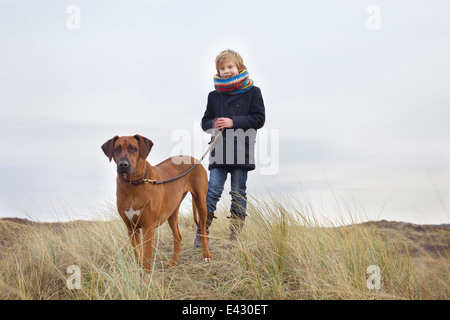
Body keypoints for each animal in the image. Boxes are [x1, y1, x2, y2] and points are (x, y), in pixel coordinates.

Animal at [102, 134, 213, 272]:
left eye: (133, 148)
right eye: (116, 149)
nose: (123, 164)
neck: (134, 184)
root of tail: (193, 159)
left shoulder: (148, 228)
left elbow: (146, 258)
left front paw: (145, 275)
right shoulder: (131, 228)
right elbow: (138, 254)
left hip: (201, 202)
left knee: (203, 231)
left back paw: (206, 256)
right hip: (172, 211)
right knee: (178, 237)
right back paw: (174, 262)